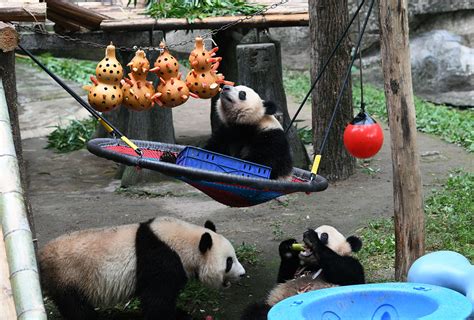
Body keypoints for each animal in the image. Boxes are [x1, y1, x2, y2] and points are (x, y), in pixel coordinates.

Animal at [39, 216, 246, 320]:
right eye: (229, 261)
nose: (243, 274)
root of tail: (41, 254)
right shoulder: (161, 259)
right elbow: (157, 299)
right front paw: (172, 317)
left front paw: (180, 312)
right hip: (68, 274)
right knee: (75, 306)